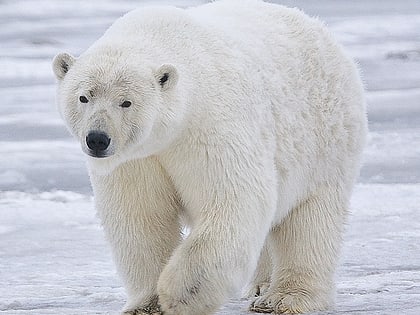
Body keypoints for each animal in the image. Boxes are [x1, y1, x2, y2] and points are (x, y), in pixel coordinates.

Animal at [52, 0, 368, 315]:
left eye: (126, 102)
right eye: (84, 97)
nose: (97, 139)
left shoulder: (210, 125)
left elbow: (233, 200)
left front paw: (180, 296)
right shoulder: (136, 160)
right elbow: (141, 216)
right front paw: (147, 304)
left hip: (325, 141)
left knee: (310, 221)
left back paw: (284, 298)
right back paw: (261, 286)